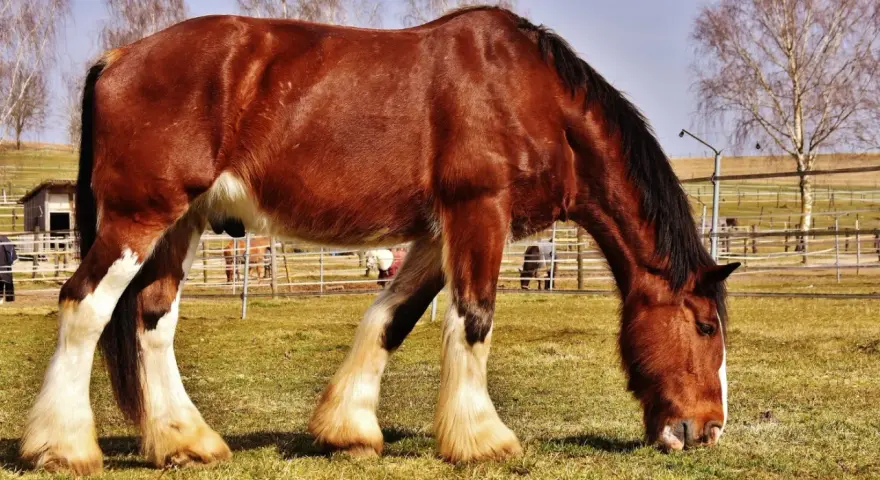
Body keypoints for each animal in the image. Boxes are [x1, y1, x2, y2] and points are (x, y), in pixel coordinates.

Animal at [21, 7, 738, 475]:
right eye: (705, 326)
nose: (707, 430)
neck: (530, 95)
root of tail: (118, 58)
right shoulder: (480, 212)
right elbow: (473, 320)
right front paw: (482, 439)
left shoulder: (433, 233)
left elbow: (391, 318)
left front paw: (348, 429)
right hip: (140, 218)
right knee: (84, 306)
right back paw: (62, 447)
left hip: (181, 223)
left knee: (151, 317)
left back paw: (185, 442)